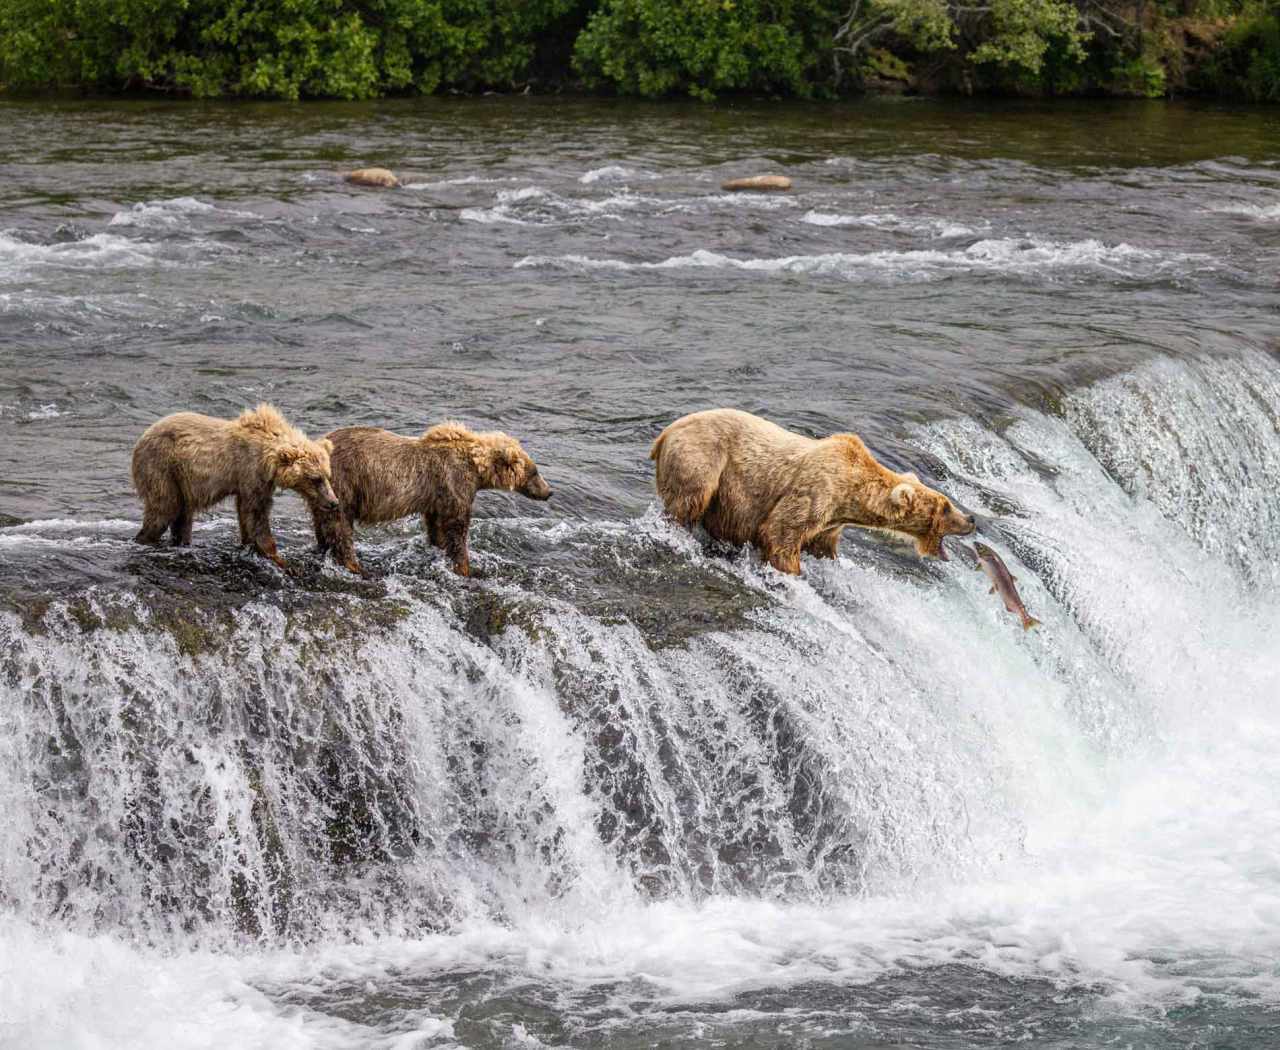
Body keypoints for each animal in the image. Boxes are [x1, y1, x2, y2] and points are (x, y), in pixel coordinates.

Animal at [131, 404, 340, 571]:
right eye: (315, 479)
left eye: (328, 476)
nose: (333, 502)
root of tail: (141, 439)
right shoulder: (250, 471)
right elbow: (257, 514)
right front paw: (281, 561)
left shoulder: (254, 481)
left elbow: (246, 514)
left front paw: (249, 545)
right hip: (162, 467)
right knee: (164, 509)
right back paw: (144, 540)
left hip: (182, 482)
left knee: (182, 516)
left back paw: (181, 542)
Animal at [312, 422, 552, 578]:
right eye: (535, 472)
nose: (549, 492)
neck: (477, 470)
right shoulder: (455, 482)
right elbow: (457, 527)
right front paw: (466, 567)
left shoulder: (437, 496)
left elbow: (437, 524)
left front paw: (439, 545)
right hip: (345, 483)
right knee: (341, 523)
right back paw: (356, 566)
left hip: (322, 491)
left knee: (322, 520)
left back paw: (323, 548)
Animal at [655, 407, 972, 573]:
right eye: (946, 507)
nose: (971, 520)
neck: (852, 495)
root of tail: (665, 433)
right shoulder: (817, 490)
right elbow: (780, 532)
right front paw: (791, 571)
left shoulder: (831, 523)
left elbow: (822, 546)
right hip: (703, 460)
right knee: (689, 500)